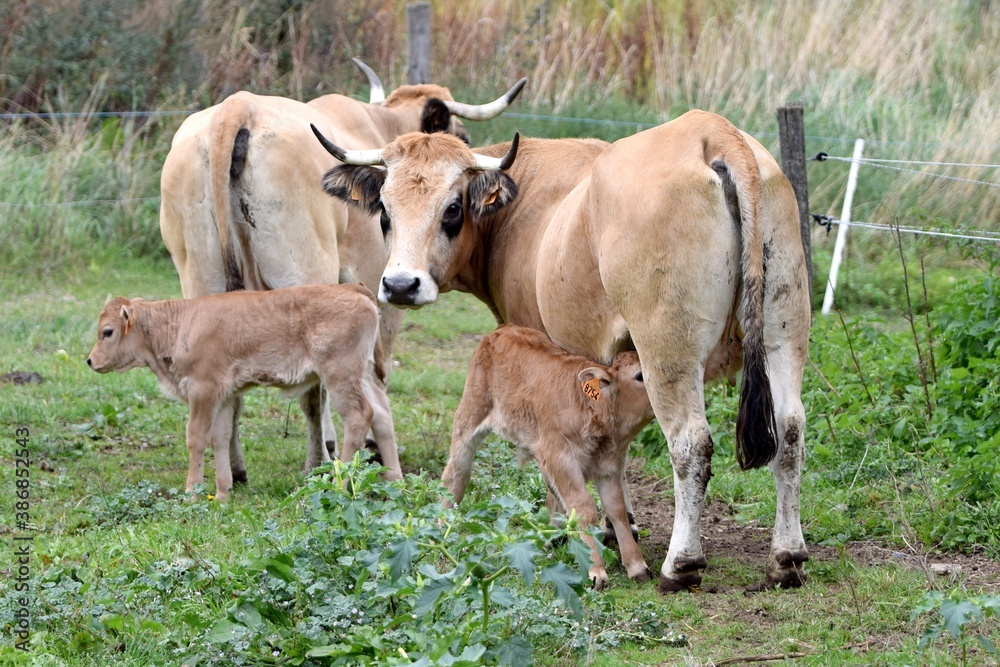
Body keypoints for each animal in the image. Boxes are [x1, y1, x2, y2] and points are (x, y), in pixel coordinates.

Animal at [85, 284, 398, 504]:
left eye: (107, 332)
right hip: (362, 376)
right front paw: (223, 493)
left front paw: (192, 491)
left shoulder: (203, 390)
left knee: (359, 416)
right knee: (382, 414)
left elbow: (196, 437)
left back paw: (340, 483)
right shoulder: (224, 396)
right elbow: (220, 438)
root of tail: (351, 288)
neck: (179, 324)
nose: (90, 361)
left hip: (340, 377)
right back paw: (395, 481)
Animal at [160, 60, 528, 482]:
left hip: (202, 282)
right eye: (463, 134)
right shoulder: (382, 288)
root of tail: (236, 109)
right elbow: (376, 374)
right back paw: (317, 459)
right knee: (313, 392)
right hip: (305, 282)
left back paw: (236, 468)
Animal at [446, 326, 656, 592]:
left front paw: (637, 566)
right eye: (640, 375)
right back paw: (442, 523)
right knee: (457, 471)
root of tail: (501, 330)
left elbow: (616, 510)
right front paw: (595, 570)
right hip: (471, 412)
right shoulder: (561, 458)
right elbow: (584, 507)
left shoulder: (608, 467)